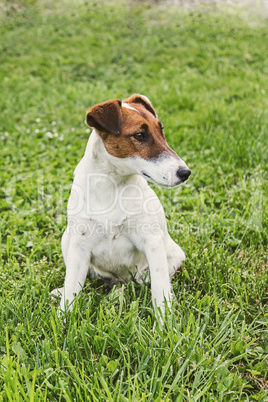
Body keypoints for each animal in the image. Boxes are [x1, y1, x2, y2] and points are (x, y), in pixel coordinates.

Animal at [51, 96, 191, 326]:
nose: (185, 173)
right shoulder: (79, 245)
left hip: (172, 258)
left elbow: (160, 291)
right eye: (140, 135)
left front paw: (163, 328)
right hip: (67, 240)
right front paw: (62, 323)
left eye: (161, 130)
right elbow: (72, 287)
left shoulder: (152, 243)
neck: (112, 184)